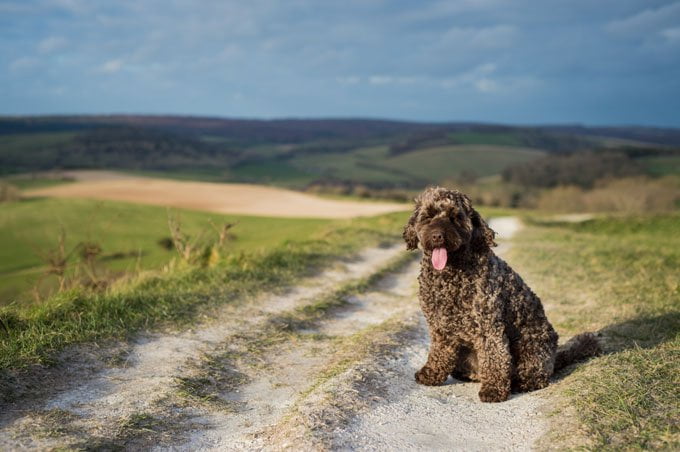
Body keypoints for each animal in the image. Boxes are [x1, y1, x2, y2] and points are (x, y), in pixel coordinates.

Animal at [404, 186, 600, 402]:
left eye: (455, 217)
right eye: (428, 216)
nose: (438, 236)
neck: (450, 275)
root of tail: (555, 356)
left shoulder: (488, 327)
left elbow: (495, 357)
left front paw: (494, 389)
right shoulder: (439, 327)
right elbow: (439, 353)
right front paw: (431, 373)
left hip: (533, 347)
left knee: (537, 375)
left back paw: (522, 382)